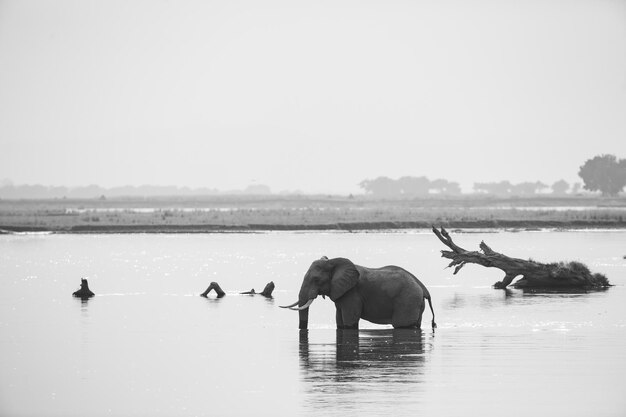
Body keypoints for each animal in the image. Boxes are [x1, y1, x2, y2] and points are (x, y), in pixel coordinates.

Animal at [282, 256, 434, 328]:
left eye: (316, 279)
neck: (333, 261)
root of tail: (423, 289)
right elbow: (340, 321)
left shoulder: (352, 293)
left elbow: (350, 321)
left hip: (407, 301)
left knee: (402, 325)